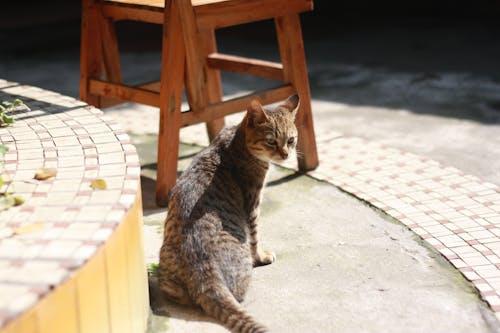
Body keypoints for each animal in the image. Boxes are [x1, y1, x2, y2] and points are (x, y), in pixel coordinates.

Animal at [160, 93, 298, 332]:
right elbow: (255, 238)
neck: (237, 140)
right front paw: (262, 256)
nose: (286, 155)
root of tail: (205, 273)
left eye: (291, 140)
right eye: (271, 141)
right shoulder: (253, 204)